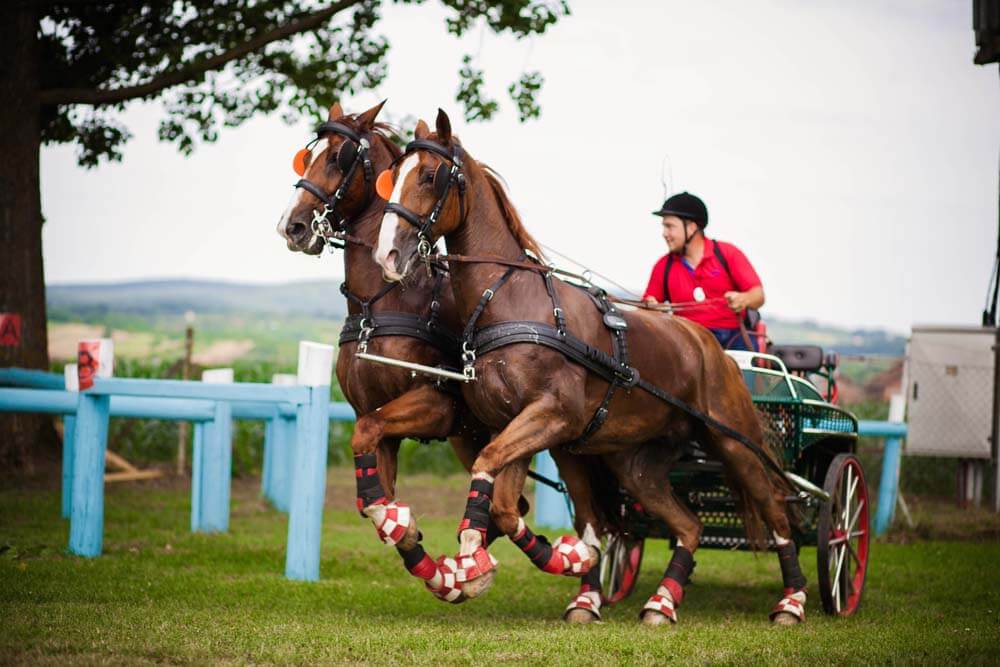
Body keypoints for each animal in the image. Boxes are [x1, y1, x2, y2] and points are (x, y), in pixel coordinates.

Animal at [276, 99, 600, 616]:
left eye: (340, 159)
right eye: (306, 158)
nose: (293, 226)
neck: (382, 303)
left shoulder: (433, 404)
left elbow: (372, 454)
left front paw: (417, 536)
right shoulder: (380, 420)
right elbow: (373, 495)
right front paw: (415, 542)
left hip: (549, 436)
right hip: (475, 436)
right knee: (516, 506)